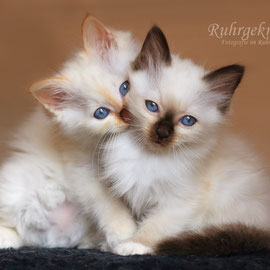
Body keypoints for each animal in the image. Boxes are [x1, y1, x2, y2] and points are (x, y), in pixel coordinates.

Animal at [0, 15, 138, 250]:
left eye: (125, 87)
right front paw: (125, 234)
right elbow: (108, 205)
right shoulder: (82, 170)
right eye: (101, 113)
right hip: (14, 188)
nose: (124, 114)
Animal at [102, 25, 270, 255]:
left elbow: (153, 226)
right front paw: (111, 243)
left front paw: (133, 245)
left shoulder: (177, 204)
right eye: (152, 106)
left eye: (188, 121)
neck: (147, 157)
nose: (162, 132)